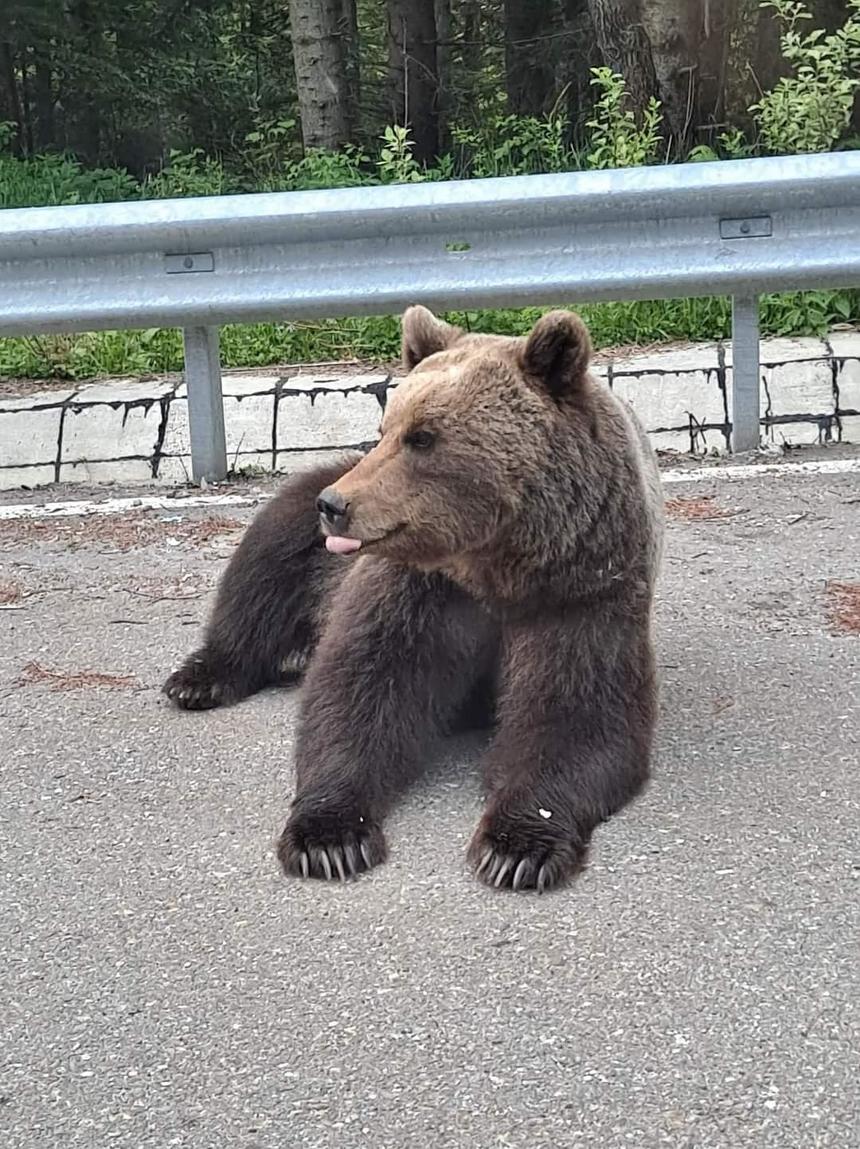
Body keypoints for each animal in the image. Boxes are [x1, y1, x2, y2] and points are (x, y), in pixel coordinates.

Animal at [167, 310, 666, 891]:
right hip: (307, 532)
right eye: (387, 428)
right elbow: (362, 691)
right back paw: (201, 678)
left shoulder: (581, 589)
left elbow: (578, 718)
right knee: (261, 573)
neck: (496, 565)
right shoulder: (418, 587)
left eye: (423, 437)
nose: (336, 505)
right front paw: (329, 837)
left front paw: (517, 847)